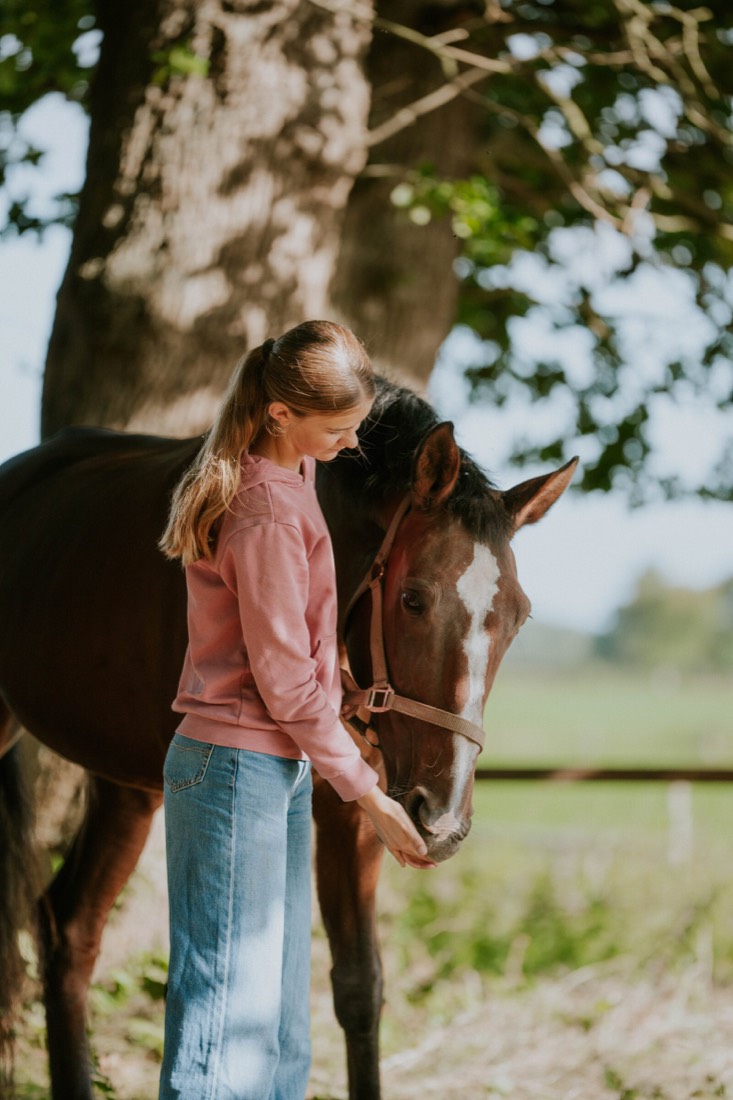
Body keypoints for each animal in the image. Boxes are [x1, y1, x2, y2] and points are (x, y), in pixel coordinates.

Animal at [0, 376, 576, 1100]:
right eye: (413, 598)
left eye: (520, 616)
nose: (441, 820)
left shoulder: (358, 816)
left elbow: (358, 986)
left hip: (125, 786)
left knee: (70, 931)